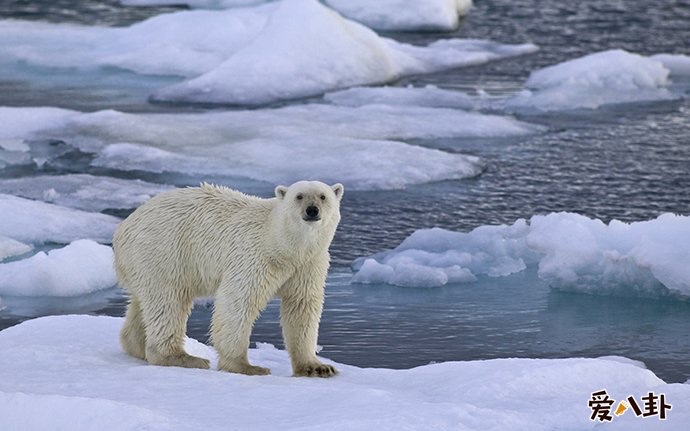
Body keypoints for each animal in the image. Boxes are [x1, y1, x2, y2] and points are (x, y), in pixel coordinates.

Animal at [112, 181, 344, 378]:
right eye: (299, 196)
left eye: (323, 196)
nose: (312, 210)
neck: (283, 246)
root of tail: (123, 229)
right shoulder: (254, 256)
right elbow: (239, 301)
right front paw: (246, 366)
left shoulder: (308, 265)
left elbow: (302, 306)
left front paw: (318, 367)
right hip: (163, 251)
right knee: (169, 301)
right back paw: (183, 358)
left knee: (144, 303)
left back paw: (137, 345)